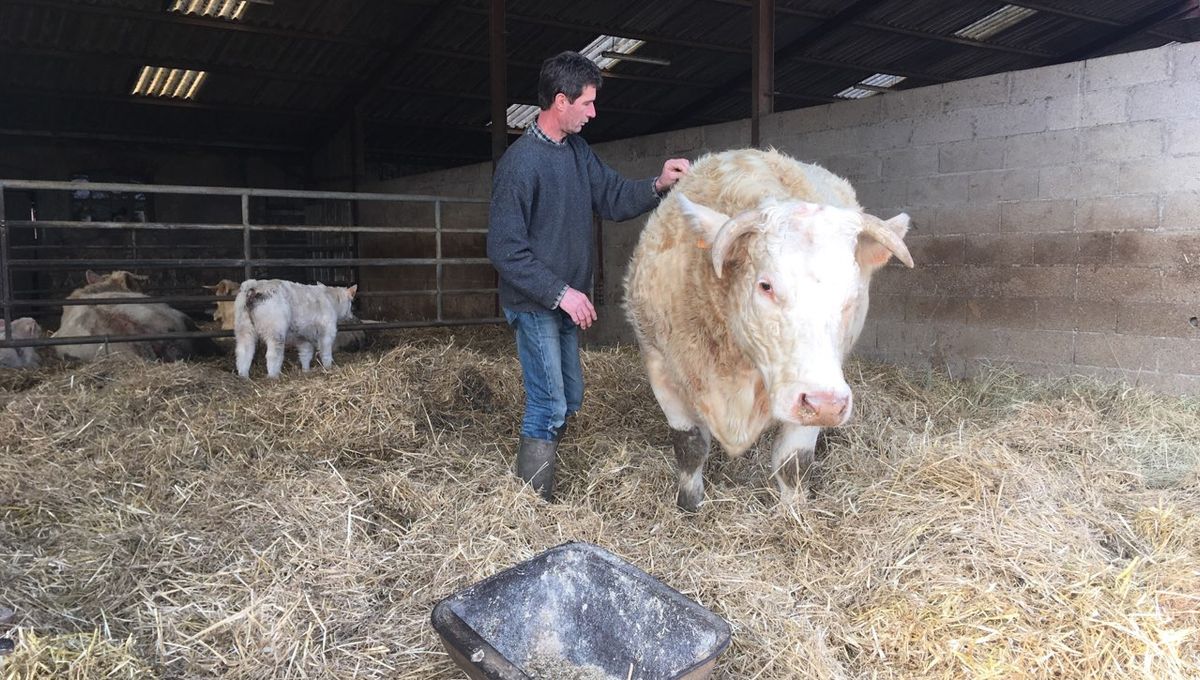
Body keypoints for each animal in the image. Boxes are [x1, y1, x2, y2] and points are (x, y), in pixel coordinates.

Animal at [624, 148, 912, 510]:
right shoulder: (660, 366)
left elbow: (793, 461)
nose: (826, 403)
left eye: (853, 295)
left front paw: (793, 514)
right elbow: (689, 447)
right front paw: (689, 506)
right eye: (766, 285)